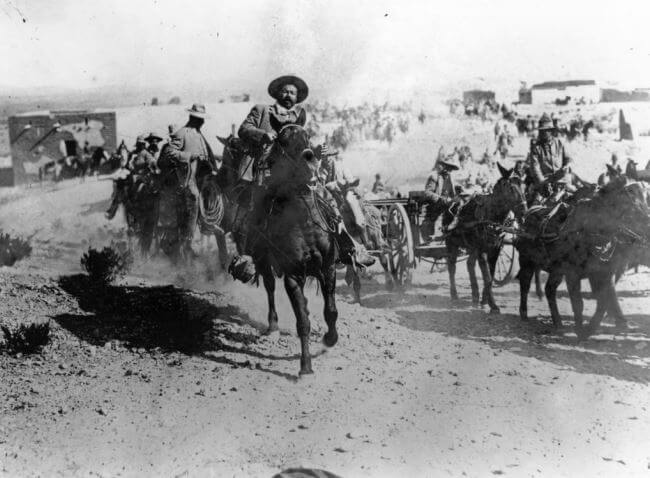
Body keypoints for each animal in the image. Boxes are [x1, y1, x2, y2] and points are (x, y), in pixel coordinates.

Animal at [442, 163, 528, 314]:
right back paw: (454, 295)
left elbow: (491, 276)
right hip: (451, 243)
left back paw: (475, 296)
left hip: (472, 246)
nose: (524, 213)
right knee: (452, 266)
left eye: (523, 186)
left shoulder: (495, 249)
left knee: (469, 264)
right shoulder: (482, 250)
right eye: (511, 188)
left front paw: (485, 300)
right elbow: (487, 276)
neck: (492, 215)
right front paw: (493, 305)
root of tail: (453, 200)